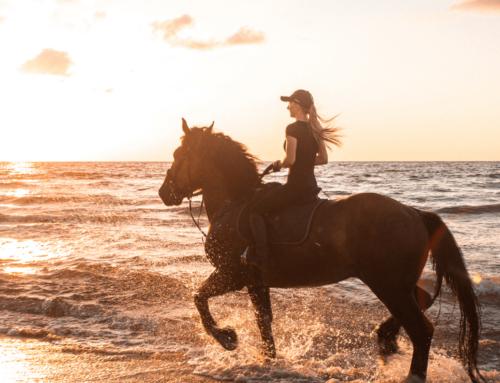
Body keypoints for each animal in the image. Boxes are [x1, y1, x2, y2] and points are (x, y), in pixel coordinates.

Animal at [159, 118, 484, 382]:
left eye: (177, 155)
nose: (164, 193)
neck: (235, 202)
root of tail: (414, 212)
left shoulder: (231, 274)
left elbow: (199, 299)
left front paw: (227, 338)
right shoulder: (255, 281)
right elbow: (264, 323)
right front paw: (268, 361)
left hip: (388, 285)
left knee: (422, 330)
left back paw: (408, 370)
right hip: (399, 284)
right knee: (424, 299)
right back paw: (386, 340)